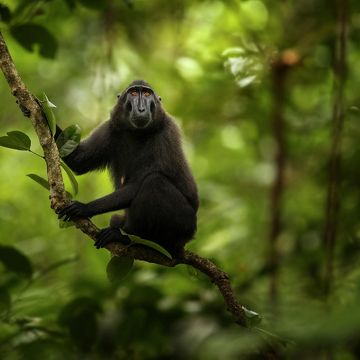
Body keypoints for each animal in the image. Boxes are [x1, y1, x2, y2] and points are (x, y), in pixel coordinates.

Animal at [54, 80, 198, 258]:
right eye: (134, 93)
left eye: (147, 94)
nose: (141, 109)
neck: (137, 133)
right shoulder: (111, 127)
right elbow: (77, 160)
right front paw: (38, 106)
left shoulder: (166, 133)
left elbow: (136, 186)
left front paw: (84, 208)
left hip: (184, 224)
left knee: (153, 181)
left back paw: (128, 237)